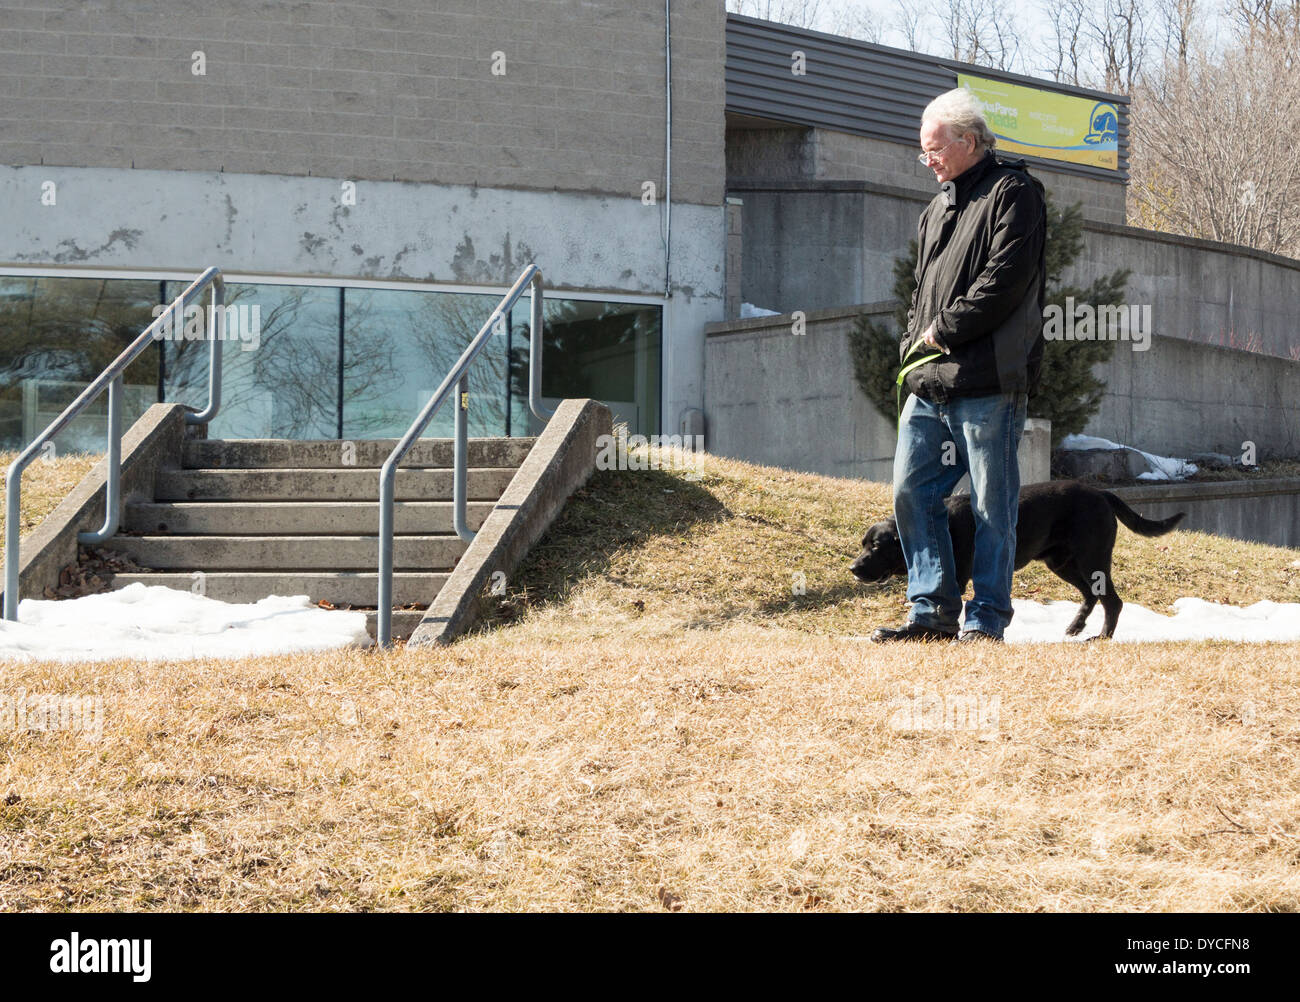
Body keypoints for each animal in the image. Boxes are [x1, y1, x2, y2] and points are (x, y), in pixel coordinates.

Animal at [852, 480, 1190, 639]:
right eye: (864, 545)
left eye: (877, 547)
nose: (853, 568)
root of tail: (1101, 492)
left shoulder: (957, 576)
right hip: (1063, 562)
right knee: (1091, 596)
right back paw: (1075, 626)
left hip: (1091, 557)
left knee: (1113, 601)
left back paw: (1101, 637)